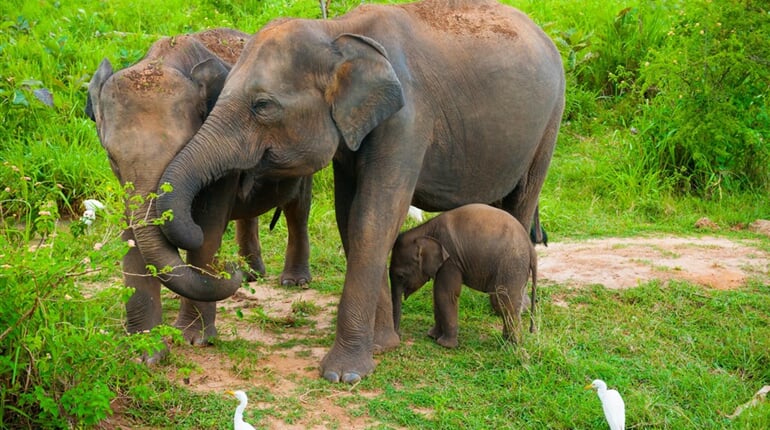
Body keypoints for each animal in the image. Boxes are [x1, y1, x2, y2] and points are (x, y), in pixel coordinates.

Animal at [85, 26, 310, 356]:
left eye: (180, 152)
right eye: (112, 158)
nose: (229, 268)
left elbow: (207, 230)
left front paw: (194, 339)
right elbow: (132, 236)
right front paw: (145, 353)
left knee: (298, 209)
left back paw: (293, 282)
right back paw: (252, 274)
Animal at [390, 203, 536, 348]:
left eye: (401, 275)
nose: (400, 335)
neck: (425, 230)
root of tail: (531, 247)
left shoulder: (451, 259)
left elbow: (445, 294)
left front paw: (446, 345)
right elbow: (437, 293)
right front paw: (432, 336)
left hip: (512, 264)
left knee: (503, 301)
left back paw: (511, 346)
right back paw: (506, 342)